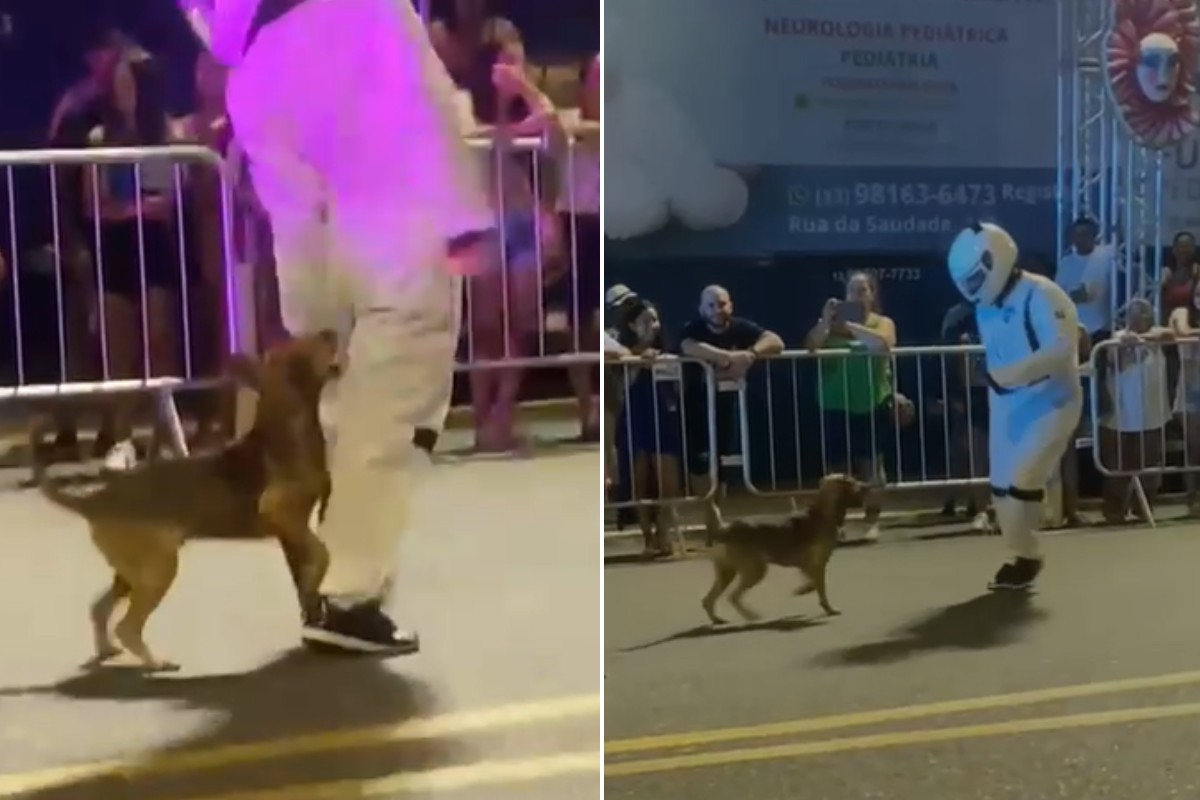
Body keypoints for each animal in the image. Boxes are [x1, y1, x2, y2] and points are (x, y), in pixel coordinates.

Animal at [30, 328, 340, 671]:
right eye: (303, 347)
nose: (329, 331)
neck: (287, 424)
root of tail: (94, 499)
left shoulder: (294, 525)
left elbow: (313, 555)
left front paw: (311, 592)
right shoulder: (280, 514)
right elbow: (322, 553)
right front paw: (313, 584)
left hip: (132, 572)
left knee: (99, 608)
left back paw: (108, 649)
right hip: (159, 569)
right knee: (128, 625)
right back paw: (155, 662)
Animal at [700, 474, 864, 623]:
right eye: (852, 482)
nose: (866, 486)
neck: (823, 513)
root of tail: (725, 529)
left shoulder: (809, 566)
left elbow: (813, 584)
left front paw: (807, 593)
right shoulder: (816, 565)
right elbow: (818, 587)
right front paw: (822, 604)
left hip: (727, 573)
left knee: (708, 599)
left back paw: (717, 619)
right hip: (755, 570)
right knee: (733, 597)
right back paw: (751, 616)